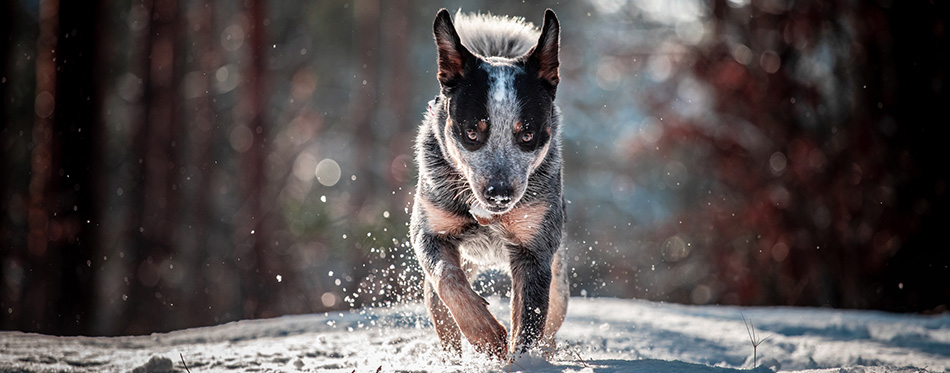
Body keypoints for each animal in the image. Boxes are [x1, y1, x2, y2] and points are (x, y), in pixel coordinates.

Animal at [410, 7, 572, 358]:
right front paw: (485, 333)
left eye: (527, 134)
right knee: (441, 308)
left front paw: (522, 360)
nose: (499, 194)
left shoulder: (534, 251)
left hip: (559, 285)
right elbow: (448, 279)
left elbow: (528, 324)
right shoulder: (430, 233)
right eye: (473, 132)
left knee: (550, 322)